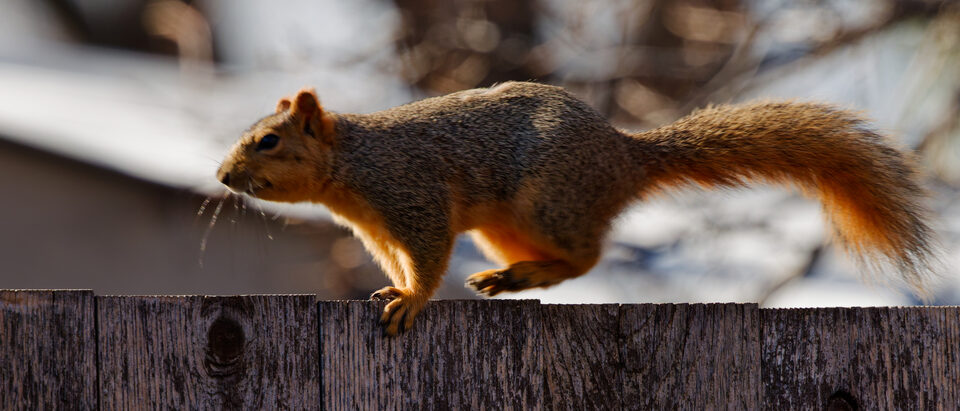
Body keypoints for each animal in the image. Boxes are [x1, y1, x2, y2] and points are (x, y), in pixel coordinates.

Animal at [217, 81, 937, 335]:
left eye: (269, 140)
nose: (223, 176)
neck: (352, 166)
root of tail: (624, 156)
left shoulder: (413, 196)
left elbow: (425, 257)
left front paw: (411, 301)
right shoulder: (378, 228)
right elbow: (400, 262)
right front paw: (394, 289)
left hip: (548, 202)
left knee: (589, 255)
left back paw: (528, 275)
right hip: (506, 225)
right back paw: (513, 277)